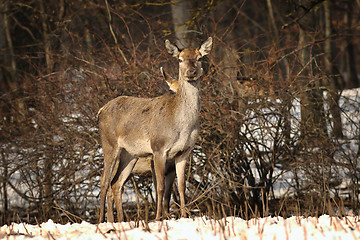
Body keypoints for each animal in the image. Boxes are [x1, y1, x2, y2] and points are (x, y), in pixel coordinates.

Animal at [97, 36, 212, 222]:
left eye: (200, 58)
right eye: (180, 59)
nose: (191, 72)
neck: (182, 124)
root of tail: (100, 111)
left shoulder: (184, 152)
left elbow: (181, 187)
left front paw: (184, 216)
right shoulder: (158, 148)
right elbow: (160, 188)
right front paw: (158, 218)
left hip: (130, 154)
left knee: (116, 183)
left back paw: (120, 221)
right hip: (109, 144)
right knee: (104, 181)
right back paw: (101, 221)